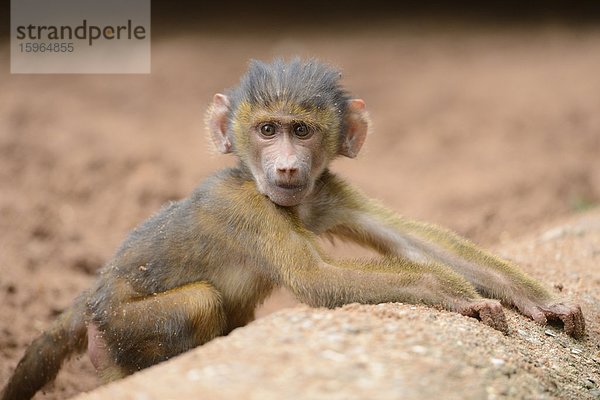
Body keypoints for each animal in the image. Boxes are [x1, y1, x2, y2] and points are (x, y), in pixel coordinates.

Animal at [2, 57, 584, 400]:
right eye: (267, 130)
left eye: (301, 131)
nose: (285, 168)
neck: (277, 196)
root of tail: (91, 297)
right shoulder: (246, 207)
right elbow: (315, 278)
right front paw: (457, 296)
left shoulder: (326, 191)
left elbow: (410, 241)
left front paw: (539, 300)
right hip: (118, 328)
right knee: (200, 303)